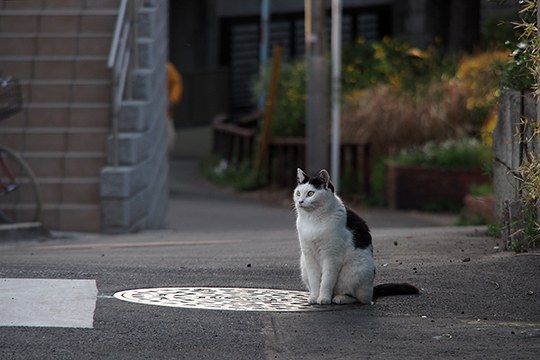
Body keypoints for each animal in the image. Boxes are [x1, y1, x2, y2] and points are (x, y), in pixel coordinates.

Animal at [296, 169, 418, 304]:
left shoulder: (331, 258)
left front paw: (324, 298)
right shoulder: (309, 256)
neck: (313, 220)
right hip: (304, 266)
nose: (300, 201)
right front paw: (314, 297)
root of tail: (372, 290)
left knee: (359, 298)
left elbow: (326, 281)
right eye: (298, 193)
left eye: (311, 193)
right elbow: (314, 281)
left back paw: (340, 298)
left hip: (356, 270)